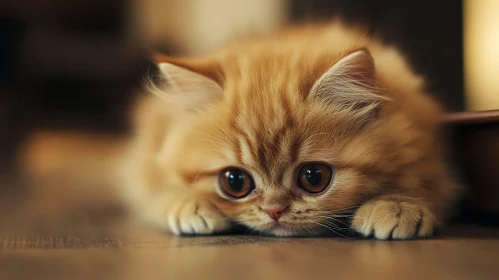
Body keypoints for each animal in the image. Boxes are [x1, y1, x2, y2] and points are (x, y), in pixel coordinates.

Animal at [121, 20, 460, 238]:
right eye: (235, 181)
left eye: (314, 177)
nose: (274, 210)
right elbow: (161, 189)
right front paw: (188, 203)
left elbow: (425, 178)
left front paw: (398, 204)